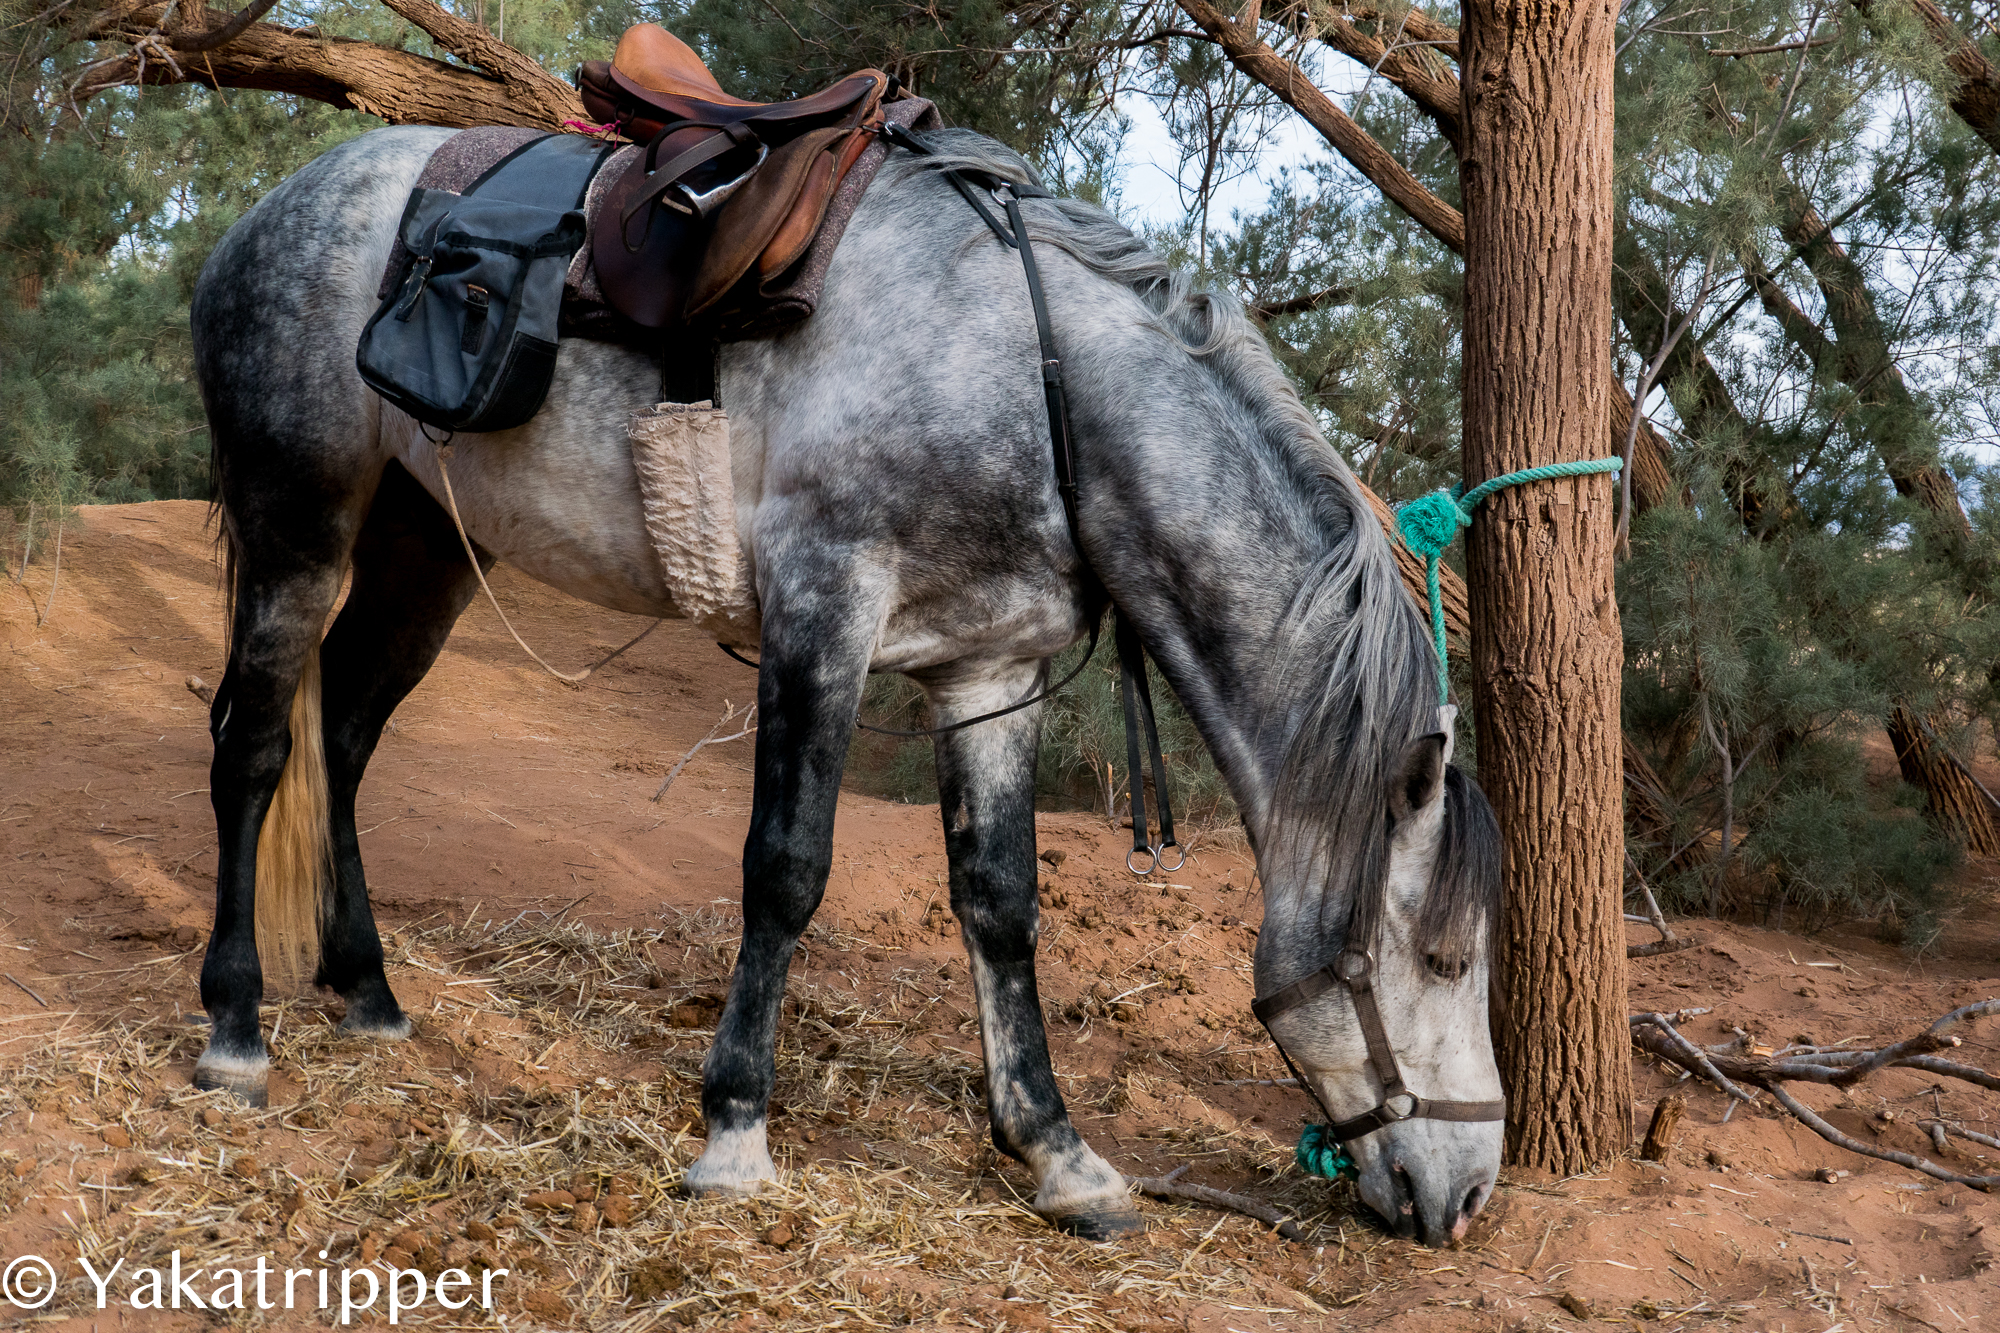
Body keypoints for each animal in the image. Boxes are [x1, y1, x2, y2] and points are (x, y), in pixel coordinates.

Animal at [188, 123, 1505, 1246]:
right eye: (1445, 959)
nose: (1467, 1194)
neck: (1037, 382)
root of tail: (275, 206)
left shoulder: (990, 666)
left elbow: (1001, 901)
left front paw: (1057, 1152)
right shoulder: (824, 610)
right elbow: (784, 872)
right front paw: (734, 1132)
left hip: (430, 545)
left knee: (343, 734)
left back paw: (366, 990)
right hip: (297, 522)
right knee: (253, 744)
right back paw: (234, 1031)